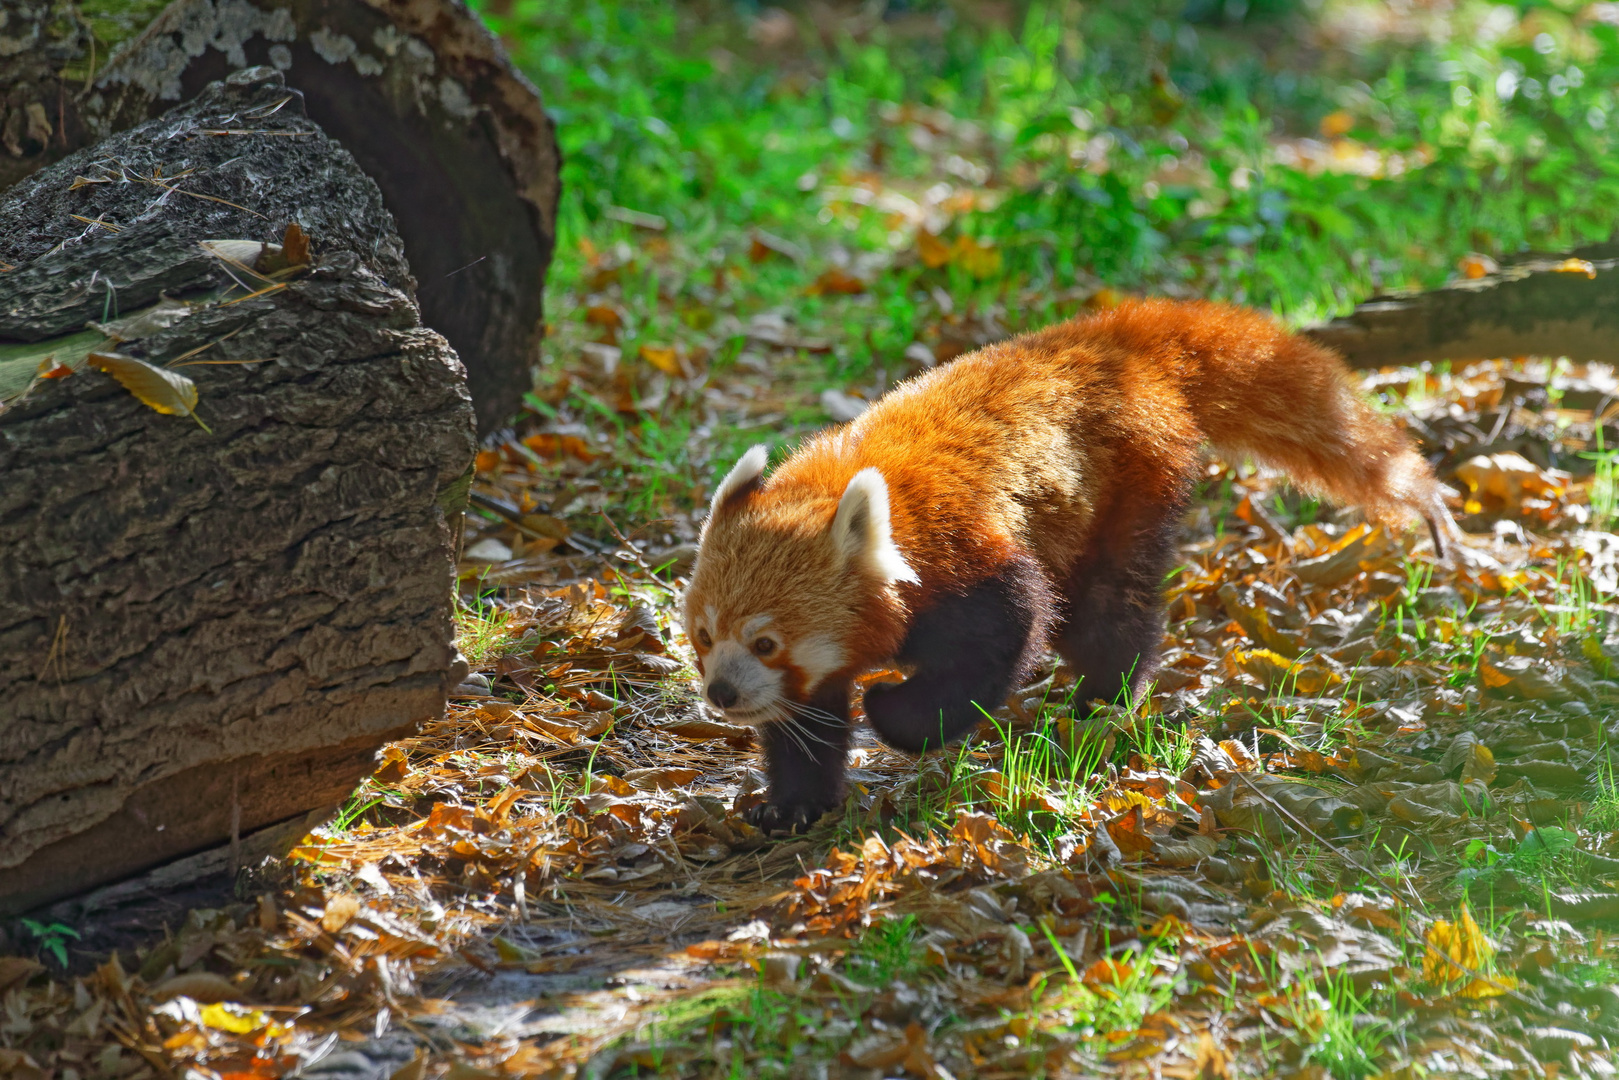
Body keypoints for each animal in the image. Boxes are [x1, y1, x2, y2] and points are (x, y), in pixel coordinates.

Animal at [683, 299, 1457, 835]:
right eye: (703, 637)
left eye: (765, 642)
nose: (722, 691)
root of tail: (1112, 341)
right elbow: (805, 722)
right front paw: (793, 804)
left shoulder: (962, 562)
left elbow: (1002, 636)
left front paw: (896, 715)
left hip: (1128, 482)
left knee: (1105, 609)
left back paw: (1102, 698)